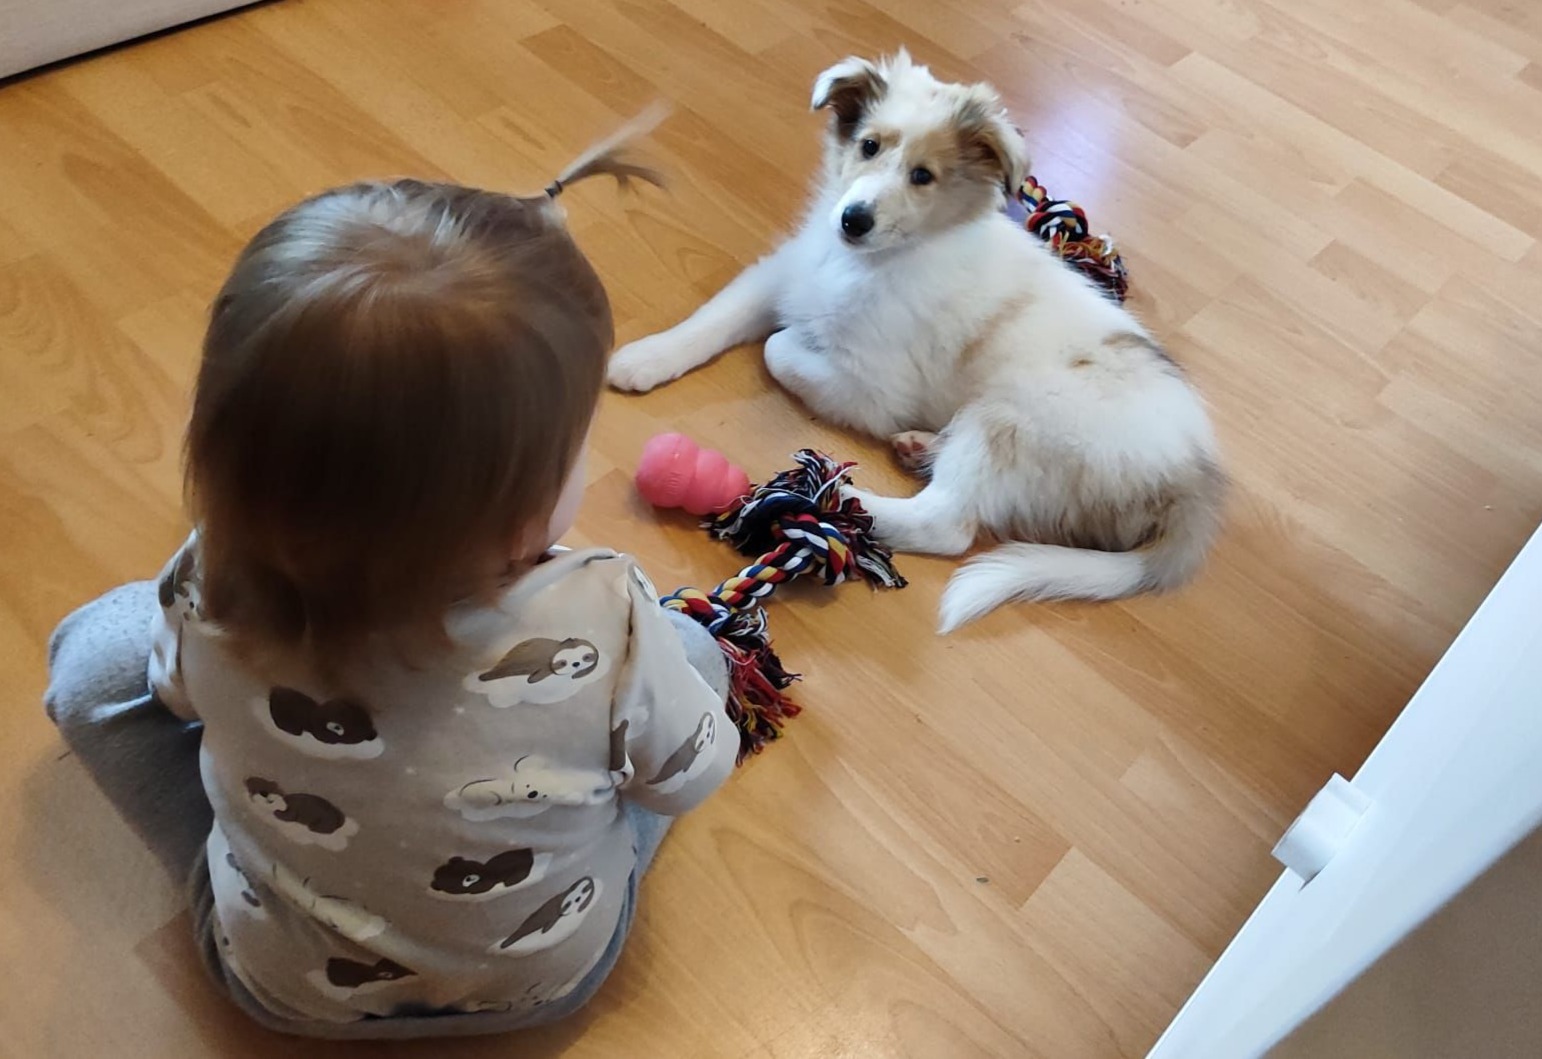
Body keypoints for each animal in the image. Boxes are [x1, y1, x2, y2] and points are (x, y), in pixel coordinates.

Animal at [608, 50, 1225, 632]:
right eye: (868, 146)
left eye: (923, 176)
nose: (852, 220)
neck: (876, 260)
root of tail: (1191, 478)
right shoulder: (787, 273)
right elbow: (716, 317)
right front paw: (643, 357)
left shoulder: (874, 387)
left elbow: (778, 348)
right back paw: (917, 449)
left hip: (1009, 424)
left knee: (947, 522)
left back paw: (831, 500)